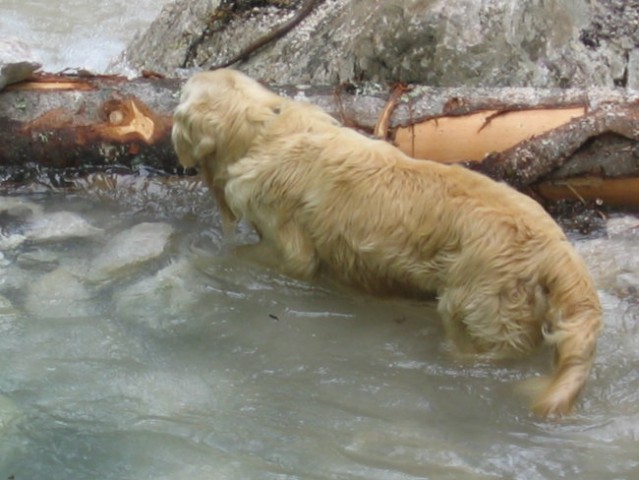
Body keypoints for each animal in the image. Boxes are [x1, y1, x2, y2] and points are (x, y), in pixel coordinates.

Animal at [172, 67, 604, 416]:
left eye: (181, 93)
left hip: (476, 307)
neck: (262, 128)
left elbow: (244, 256)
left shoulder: (290, 250)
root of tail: (558, 252)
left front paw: (201, 260)